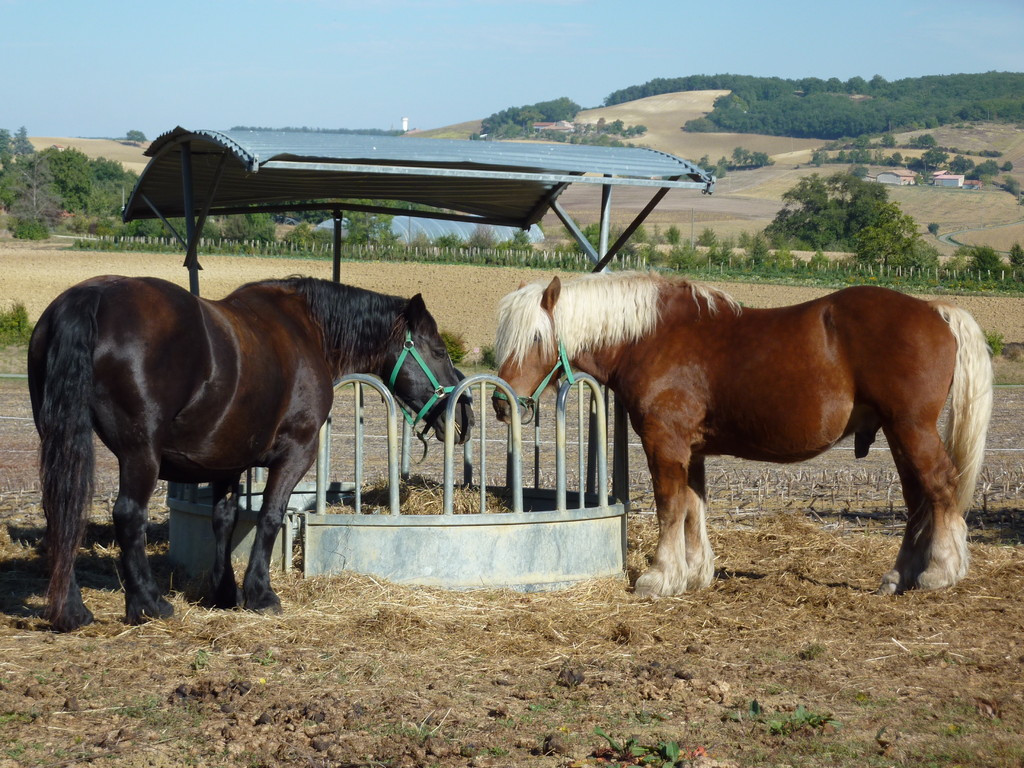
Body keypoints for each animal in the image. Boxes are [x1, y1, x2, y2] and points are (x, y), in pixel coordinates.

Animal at [29, 276, 473, 630]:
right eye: (438, 351)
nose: (464, 416)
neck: (306, 328)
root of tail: (91, 297)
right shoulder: (297, 451)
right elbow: (270, 516)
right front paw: (260, 594)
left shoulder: (224, 457)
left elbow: (224, 519)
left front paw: (224, 592)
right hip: (141, 453)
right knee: (127, 515)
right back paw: (149, 604)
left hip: (60, 436)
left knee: (62, 511)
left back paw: (71, 611)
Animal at [495, 274, 991, 598]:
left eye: (536, 338)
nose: (502, 403)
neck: (651, 338)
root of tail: (936, 311)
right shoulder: (691, 449)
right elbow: (693, 507)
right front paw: (694, 575)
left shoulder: (664, 443)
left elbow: (669, 506)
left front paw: (659, 577)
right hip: (899, 434)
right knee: (917, 500)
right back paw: (899, 577)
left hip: (911, 429)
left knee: (940, 487)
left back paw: (940, 572)